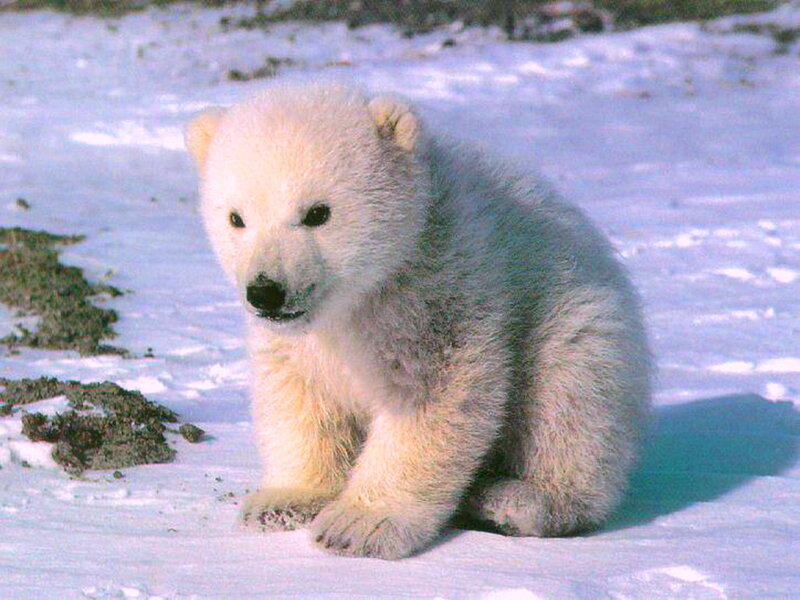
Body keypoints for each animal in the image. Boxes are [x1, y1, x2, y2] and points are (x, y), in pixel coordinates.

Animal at [185, 81, 652, 560]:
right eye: (237, 218)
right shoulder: (301, 339)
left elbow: (432, 395)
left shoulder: (440, 284)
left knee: (569, 400)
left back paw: (516, 499)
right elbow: (300, 394)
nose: (266, 291)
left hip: (575, 315)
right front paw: (281, 502)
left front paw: (358, 525)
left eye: (317, 212)